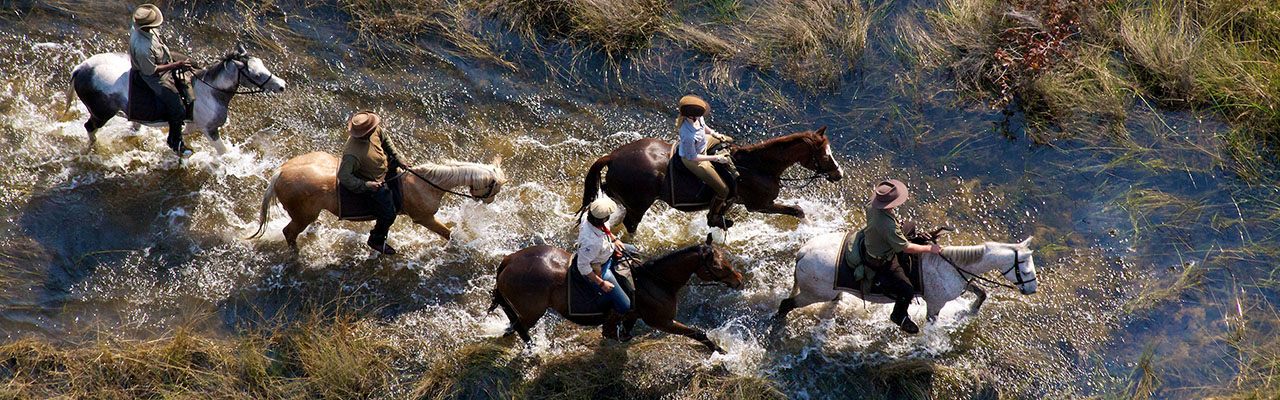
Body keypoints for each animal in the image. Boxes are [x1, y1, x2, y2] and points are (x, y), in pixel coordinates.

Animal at [67, 44, 285, 154]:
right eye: (256, 74)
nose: (281, 85)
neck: (210, 92)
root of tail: (81, 69)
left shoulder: (192, 124)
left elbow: (185, 134)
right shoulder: (209, 129)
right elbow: (223, 152)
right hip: (101, 114)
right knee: (90, 128)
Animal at [247, 153, 506, 250]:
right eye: (495, 187)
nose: (490, 202)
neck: (426, 183)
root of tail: (281, 172)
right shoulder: (424, 218)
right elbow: (448, 234)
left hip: (308, 212)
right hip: (301, 215)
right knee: (289, 233)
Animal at [491, 234, 747, 353]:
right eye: (717, 267)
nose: (738, 279)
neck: (654, 281)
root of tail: (509, 261)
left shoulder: (631, 316)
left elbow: (624, 332)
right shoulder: (662, 321)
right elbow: (698, 333)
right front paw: (720, 351)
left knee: (514, 323)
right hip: (532, 311)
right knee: (521, 328)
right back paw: (533, 349)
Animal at [581, 127, 839, 234]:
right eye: (825, 154)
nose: (839, 174)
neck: (758, 166)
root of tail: (613, 156)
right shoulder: (760, 205)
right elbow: (796, 210)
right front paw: (811, 228)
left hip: (625, 198)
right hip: (639, 204)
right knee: (631, 224)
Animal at [768, 233, 1039, 326]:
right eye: (1026, 269)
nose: (1032, 290)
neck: (949, 265)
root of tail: (803, 252)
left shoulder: (963, 282)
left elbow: (981, 292)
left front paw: (970, 312)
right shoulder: (935, 303)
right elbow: (930, 323)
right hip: (812, 293)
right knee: (786, 304)